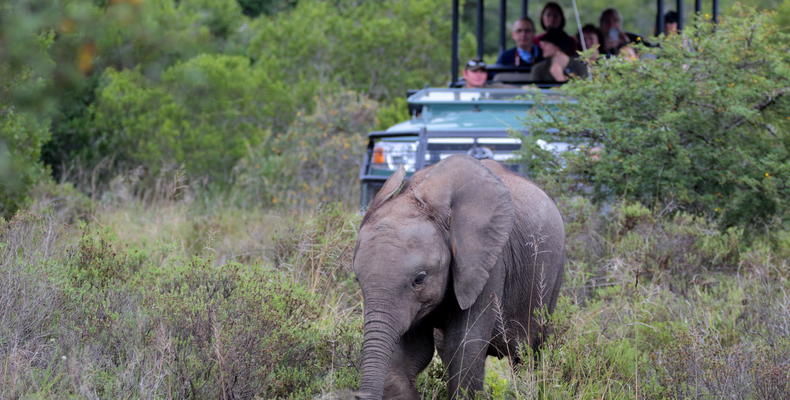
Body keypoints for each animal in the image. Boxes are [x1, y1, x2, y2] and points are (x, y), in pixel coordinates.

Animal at [356, 155, 568, 398]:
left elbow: (465, 348)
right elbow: (412, 352)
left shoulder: (489, 263)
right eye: (358, 280)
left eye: (419, 279)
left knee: (528, 354)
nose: (360, 395)